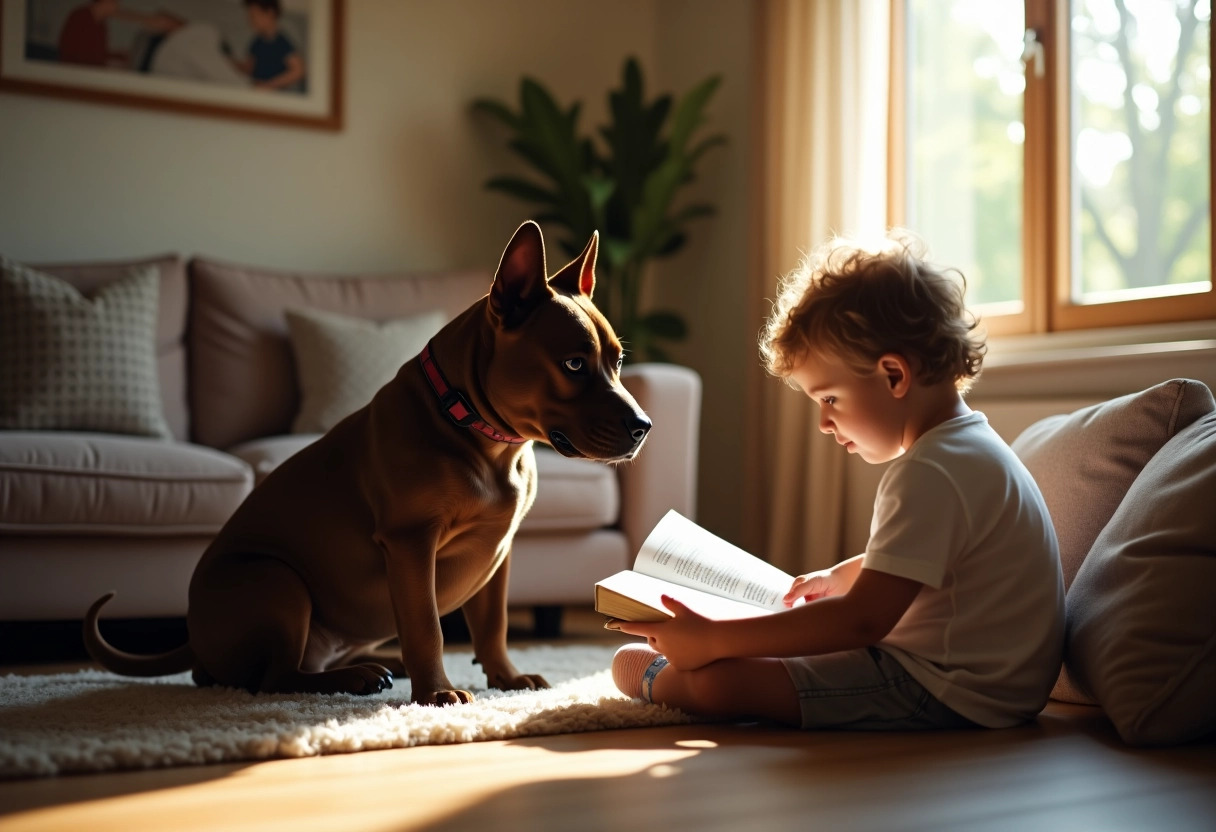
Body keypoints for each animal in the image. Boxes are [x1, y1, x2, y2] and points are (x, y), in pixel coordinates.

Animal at [83, 218, 656, 700]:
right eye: (574, 364)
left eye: (618, 361)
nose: (643, 426)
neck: (481, 433)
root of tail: (194, 639)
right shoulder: (410, 544)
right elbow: (426, 625)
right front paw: (436, 693)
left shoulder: (500, 552)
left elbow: (492, 625)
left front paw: (506, 677)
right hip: (277, 582)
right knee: (273, 677)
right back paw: (354, 677)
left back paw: (381, 665)